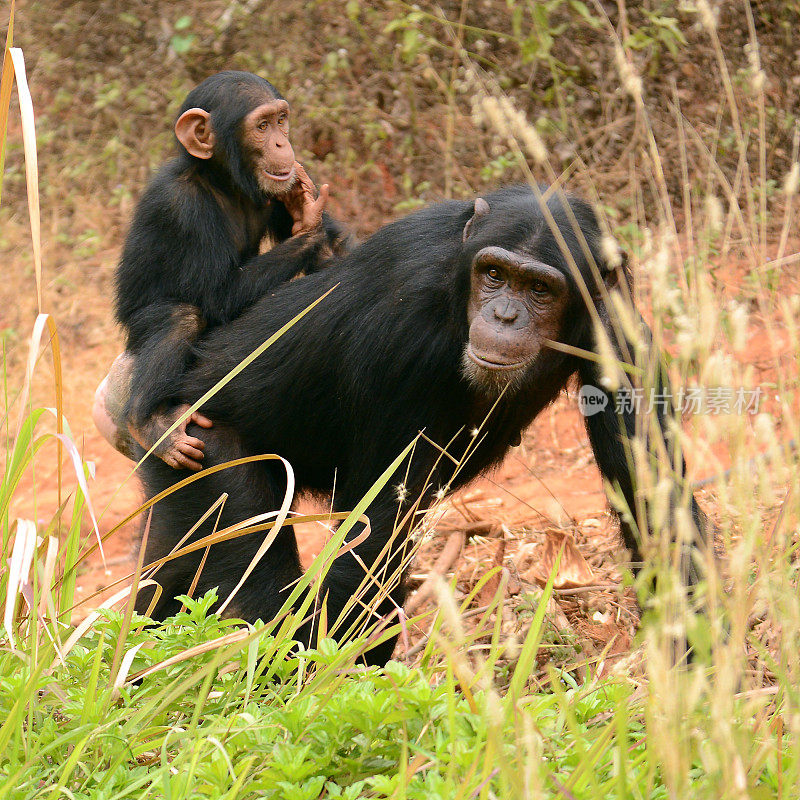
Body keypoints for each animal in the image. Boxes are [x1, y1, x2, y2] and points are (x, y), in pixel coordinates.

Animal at [92, 72, 348, 472]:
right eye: (262, 126)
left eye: (281, 119)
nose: (282, 142)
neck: (223, 181)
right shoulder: (181, 208)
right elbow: (218, 296)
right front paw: (310, 220)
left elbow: (334, 264)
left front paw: (307, 209)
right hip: (135, 333)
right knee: (180, 317)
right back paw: (149, 423)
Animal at [133, 186, 708, 664]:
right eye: (495, 275)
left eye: (540, 289)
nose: (504, 316)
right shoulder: (400, 327)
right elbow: (375, 530)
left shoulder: (618, 327)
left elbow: (652, 498)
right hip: (203, 447)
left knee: (172, 574)